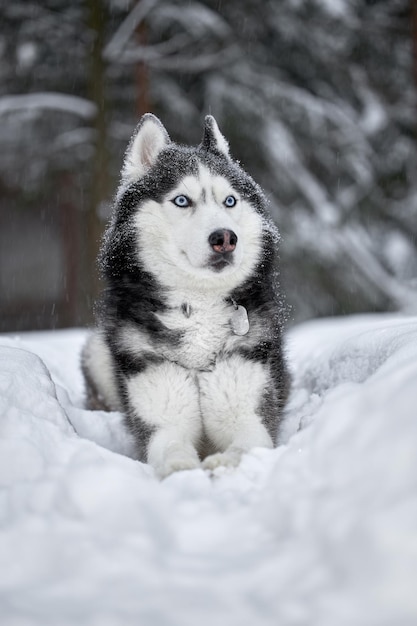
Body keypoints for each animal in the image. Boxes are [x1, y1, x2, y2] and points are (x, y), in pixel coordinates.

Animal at [81, 112, 290, 476]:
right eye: (182, 200)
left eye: (230, 201)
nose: (225, 238)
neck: (199, 304)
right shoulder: (163, 420)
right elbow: (172, 450)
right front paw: (185, 471)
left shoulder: (248, 412)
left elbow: (247, 446)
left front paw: (223, 463)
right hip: (96, 352)